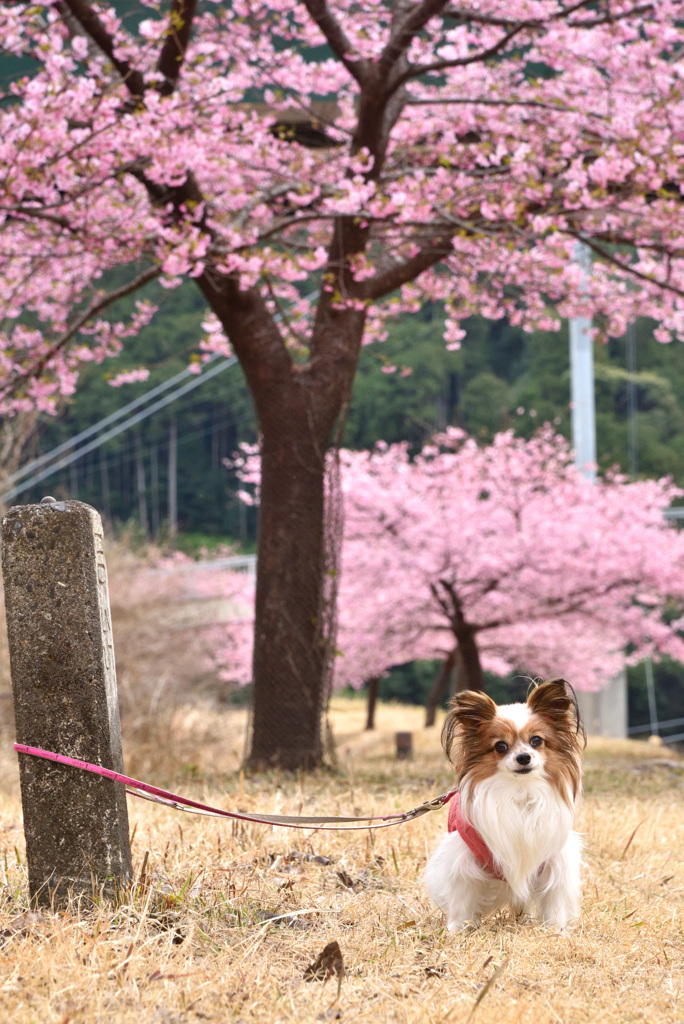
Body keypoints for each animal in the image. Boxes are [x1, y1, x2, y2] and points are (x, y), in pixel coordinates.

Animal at [423, 675, 585, 933]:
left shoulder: (554, 861)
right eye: (500, 746)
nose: (523, 757)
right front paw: (456, 931)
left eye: (536, 741)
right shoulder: (463, 861)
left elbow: (554, 903)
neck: (520, 791)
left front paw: (556, 932)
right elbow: (461, 901)